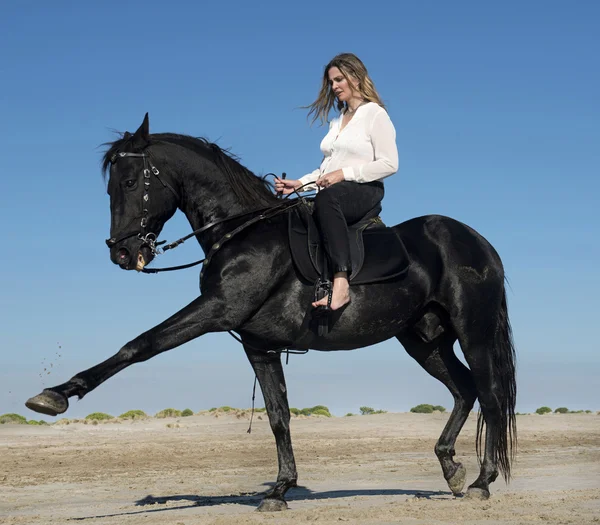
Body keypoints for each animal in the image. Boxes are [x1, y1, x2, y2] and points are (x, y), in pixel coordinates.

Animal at [27, 112, 516, 510]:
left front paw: (57, 394)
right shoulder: (259, 345)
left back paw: (482, 482)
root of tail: (478, 242)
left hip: (472, 332)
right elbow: (278, 416)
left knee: (490, 395)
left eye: (130, 183)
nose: (123, 254)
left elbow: (139, 344)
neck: (242, 233)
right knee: (464, 390)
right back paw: (451, 470)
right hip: (423, 339)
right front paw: (280, 490)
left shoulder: (216, 310)